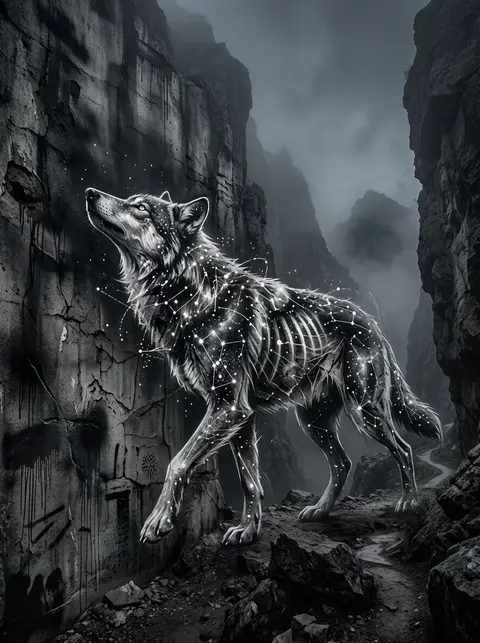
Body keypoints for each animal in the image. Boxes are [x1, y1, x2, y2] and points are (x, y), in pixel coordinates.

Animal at [85, 187, 442, 545]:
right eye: (132, 201)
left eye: (141, 208)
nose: (89, 192)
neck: (193, 295)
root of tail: (372, 322)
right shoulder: (240, 417)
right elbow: (250, 481)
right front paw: (248, 530)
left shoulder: (228, 407)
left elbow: (177, 463)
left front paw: (159, 521)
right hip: (313, 421)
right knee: (342, 463)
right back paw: (320, 511)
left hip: (364, 412)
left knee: (404, 449)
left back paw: (408, 502)